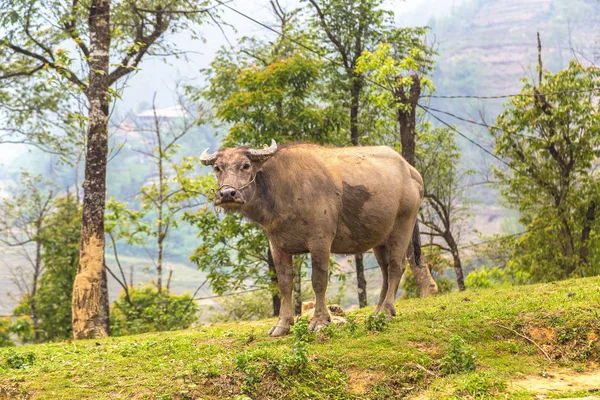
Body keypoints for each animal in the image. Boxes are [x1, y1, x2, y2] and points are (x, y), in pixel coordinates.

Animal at [200, 141, 432, 338]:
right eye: (217, 168)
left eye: (246, 165)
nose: (227, 194)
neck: (283, 190)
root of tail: (412, 173)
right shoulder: (277, 246)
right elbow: (285, 284)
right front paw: (282, 325)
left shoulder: (320, 241)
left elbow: (318, 281)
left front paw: (320, 322)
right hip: (380, 237)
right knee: (384, 271)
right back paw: (376, 312)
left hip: (403, 225)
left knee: (396, 267)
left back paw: (387, 312)